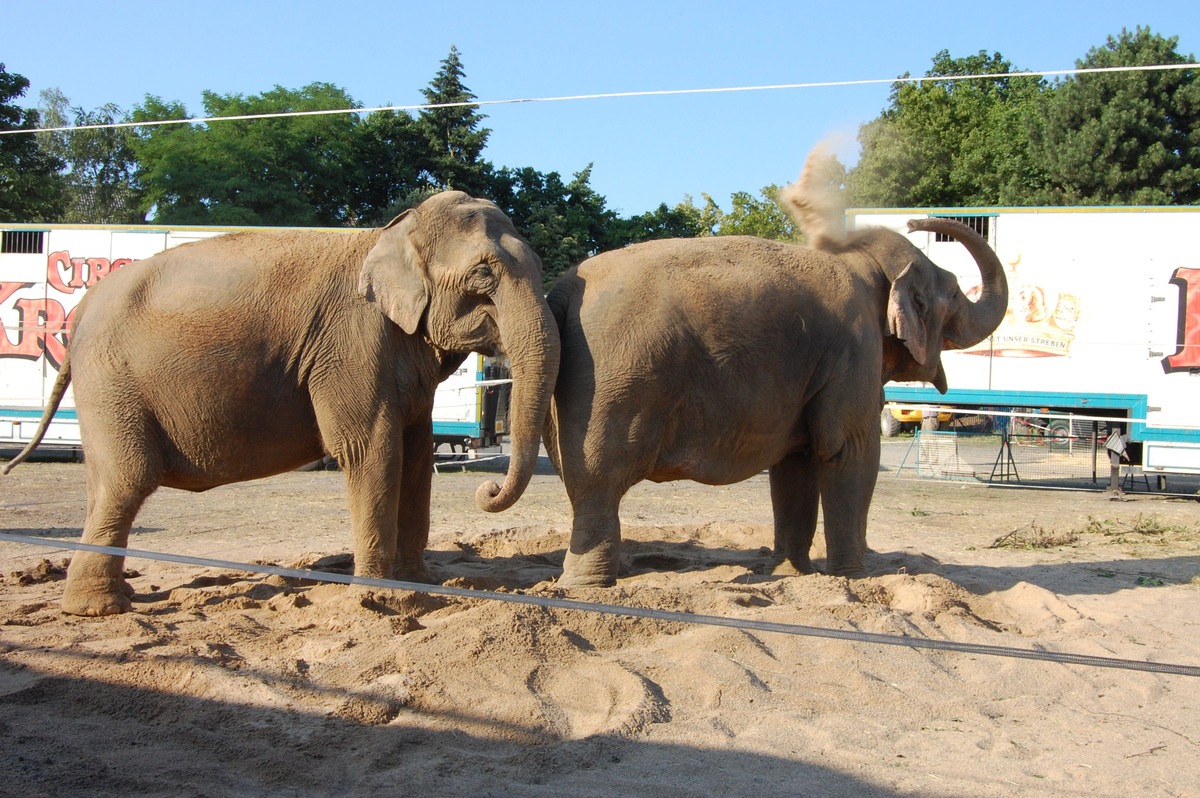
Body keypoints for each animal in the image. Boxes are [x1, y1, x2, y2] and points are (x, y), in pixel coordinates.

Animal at [2, 189, 556, 612]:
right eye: (483, 275)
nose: (486, 492)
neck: (393, 232)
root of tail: (81, 313)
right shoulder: (351, 344)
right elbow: (370, 448)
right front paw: (376, 599)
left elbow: (417, 454)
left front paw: (419, 586)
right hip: (112, 382)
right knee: (127, 479)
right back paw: (99, 608)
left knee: (106, 483)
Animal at [542, 149, 1003, 585]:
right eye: (955, 293)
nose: (914, 220)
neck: (862, 262)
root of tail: (561, 291)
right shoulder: (855, 351)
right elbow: (849, 450)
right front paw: (854, 578)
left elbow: (795, 465)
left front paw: (792, 573)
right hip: (614, 384)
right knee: (598, 481)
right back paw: (589, 585)